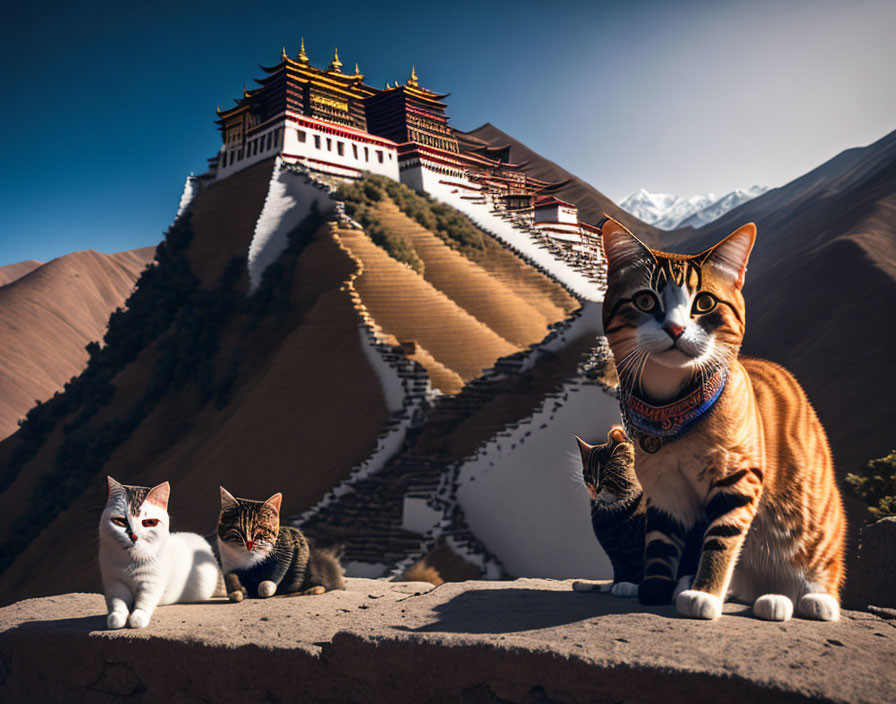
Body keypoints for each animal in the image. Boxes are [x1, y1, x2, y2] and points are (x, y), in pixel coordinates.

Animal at [98, 476, 222, 628]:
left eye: (149, 522)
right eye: (121, 521)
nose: (134, 536)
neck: (131, 562)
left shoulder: (151, 584)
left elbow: (143, 602)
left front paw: (137, 618)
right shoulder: (115, 583)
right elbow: (117, 603)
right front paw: (116, 618)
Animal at [215, 486, 344, 604]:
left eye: (260, 531)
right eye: (237, 530)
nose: (249, 544)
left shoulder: (288, 548)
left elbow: (268, 582)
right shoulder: (228, 564)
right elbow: (230, 576)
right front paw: (238, 592)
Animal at [600, 217, 844, 620]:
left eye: (705, 303)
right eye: (645, 300)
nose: (676, 329)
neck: (672, 410)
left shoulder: (738, 477)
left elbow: (721, 540)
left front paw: (704, 593)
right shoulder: (663, 488)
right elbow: (661, 540)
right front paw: (656, 586)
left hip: (813, 520)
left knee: (816, 566)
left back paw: (813, 599)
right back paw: (765, 599)